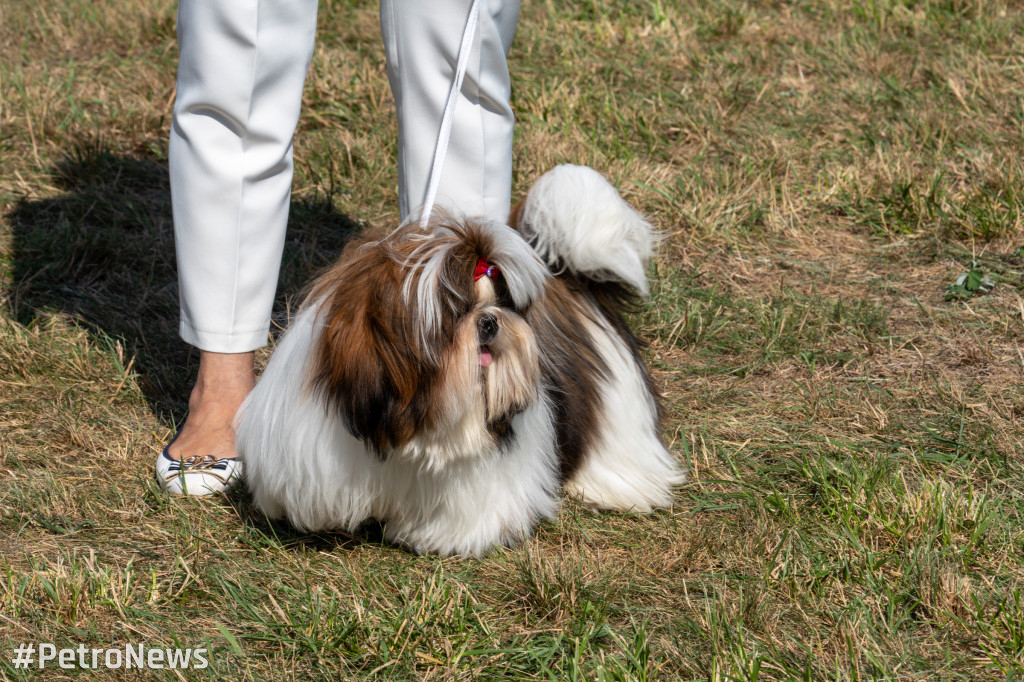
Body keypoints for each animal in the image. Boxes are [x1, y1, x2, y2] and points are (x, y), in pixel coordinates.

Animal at [237, 163, 688, 552]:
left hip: (617, 405)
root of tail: (569, 276)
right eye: (458, 312)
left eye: (502, 302)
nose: (489, 321)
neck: (405, 419)